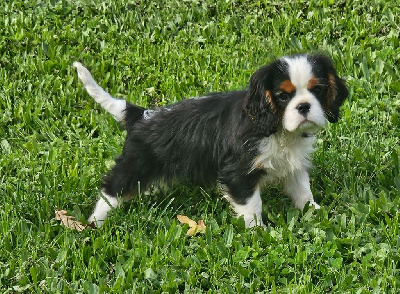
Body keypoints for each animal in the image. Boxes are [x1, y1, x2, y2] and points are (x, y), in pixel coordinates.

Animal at [73, 54, 348, 227]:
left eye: (317, 90)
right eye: (283, 96)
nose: (303, 106)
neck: (277, 130)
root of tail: (140, 114)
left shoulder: (293, 164)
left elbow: (302, 190)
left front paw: (315, 212)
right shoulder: (239, 172)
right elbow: (252, 205)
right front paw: (257, 231)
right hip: (136, 163)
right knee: (111, 190)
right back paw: (95, 223)